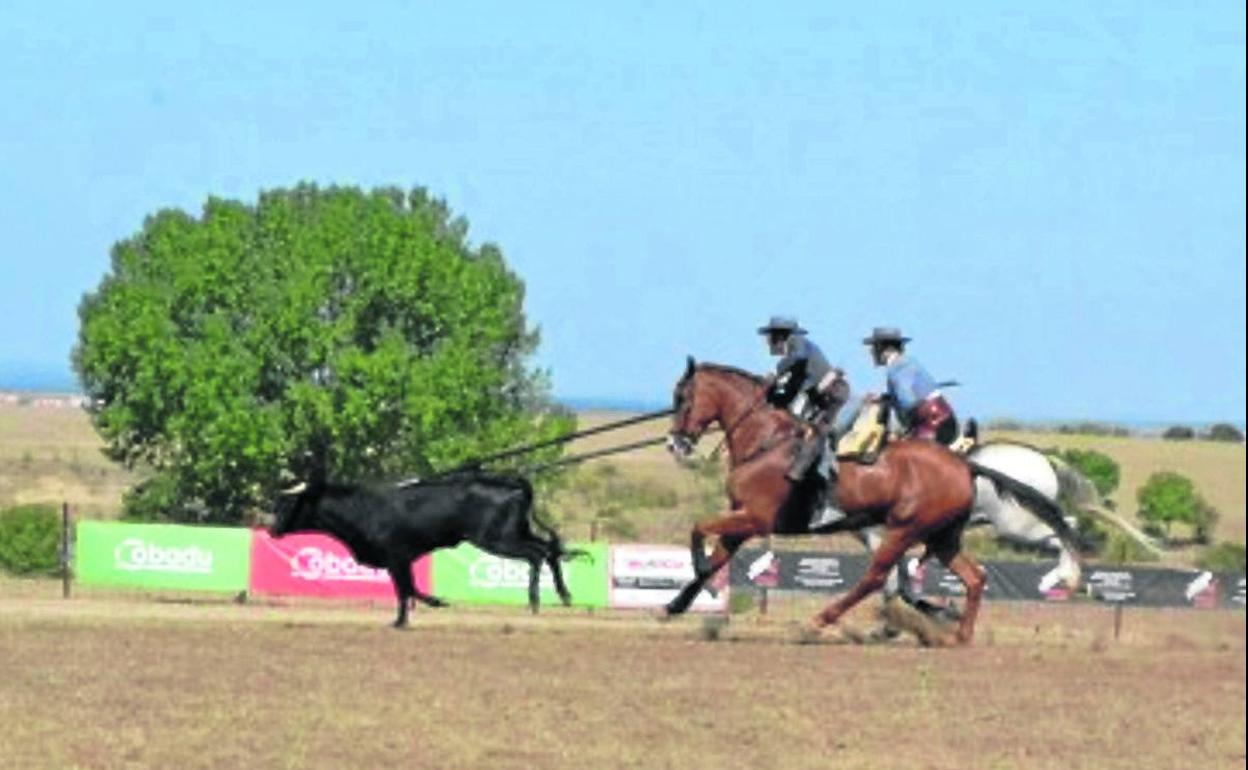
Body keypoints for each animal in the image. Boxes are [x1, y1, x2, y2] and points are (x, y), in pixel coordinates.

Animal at [270, 469, 581, 623]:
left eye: (288, 504)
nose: (272, 530)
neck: (363, 509)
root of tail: (513, 483)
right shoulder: (401, 560)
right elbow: (408, 588)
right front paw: (422, 608)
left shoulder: (396, 557)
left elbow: (405, 589)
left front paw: (406, 618)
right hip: (515, 533)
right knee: (549, 549)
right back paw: (563, 595)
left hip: (498, 538)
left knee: (537, 554)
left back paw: (535, 600)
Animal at [663, 359, 983, 643]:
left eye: (682, 397)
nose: (675, 444)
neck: (766, 441)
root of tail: (963, 466)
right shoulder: (741, 521)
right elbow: (716, 557)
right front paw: (676, 604)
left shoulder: (755, 519)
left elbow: (699, 529)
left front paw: (703, 579)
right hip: (941, 537)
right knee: (974, 577)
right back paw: (959, 635)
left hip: (904, 531)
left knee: (875, 578)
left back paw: (817, 622)